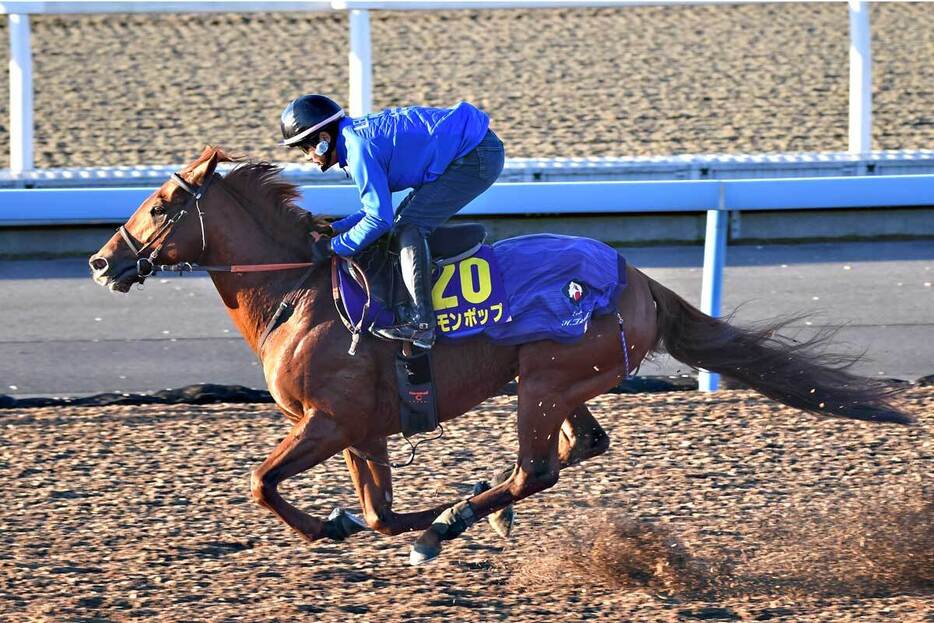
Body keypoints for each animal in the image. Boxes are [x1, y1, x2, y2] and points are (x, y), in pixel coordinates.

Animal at [89, 147, 916, 564]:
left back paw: (451, 526)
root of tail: (639, 278)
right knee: (581, 445)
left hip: (545, 379)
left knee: (538, 467)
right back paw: (465, 513)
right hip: (560, 380)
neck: (299, 291)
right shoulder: (363, 429)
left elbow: (263, 484)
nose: (103, 260)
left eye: (160, 206)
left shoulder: (328, 420)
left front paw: (348, 526)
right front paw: (393, 514)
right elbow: (377, 511)